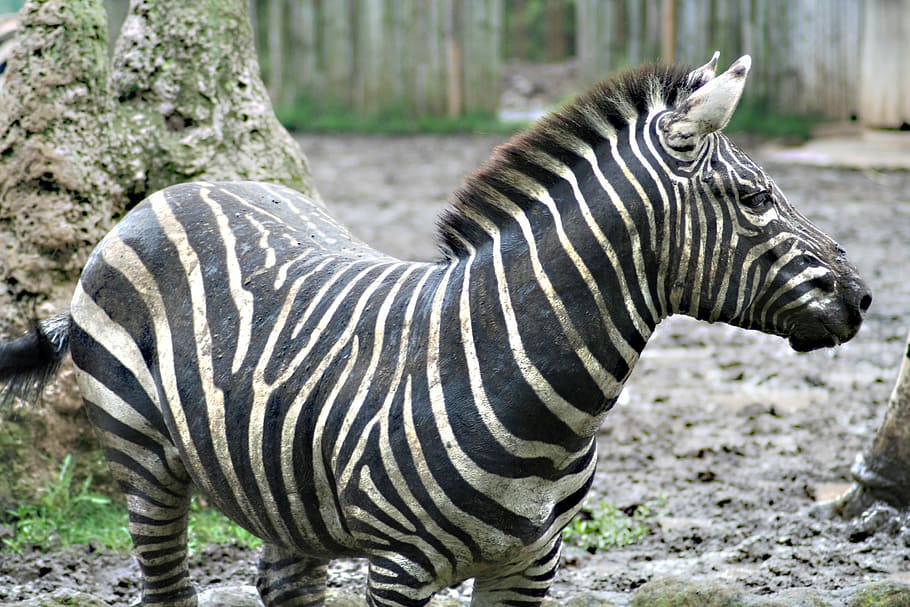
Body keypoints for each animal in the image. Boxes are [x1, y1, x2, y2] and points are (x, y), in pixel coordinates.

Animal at [0, 54, 869, 606]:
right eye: (755, 198)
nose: (862, 296)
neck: (543, 396)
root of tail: (169, 193)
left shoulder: (530, 566)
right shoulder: (398, 568)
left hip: (279, 481)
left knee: (287, 581)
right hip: (144, 460)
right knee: (167, 583)